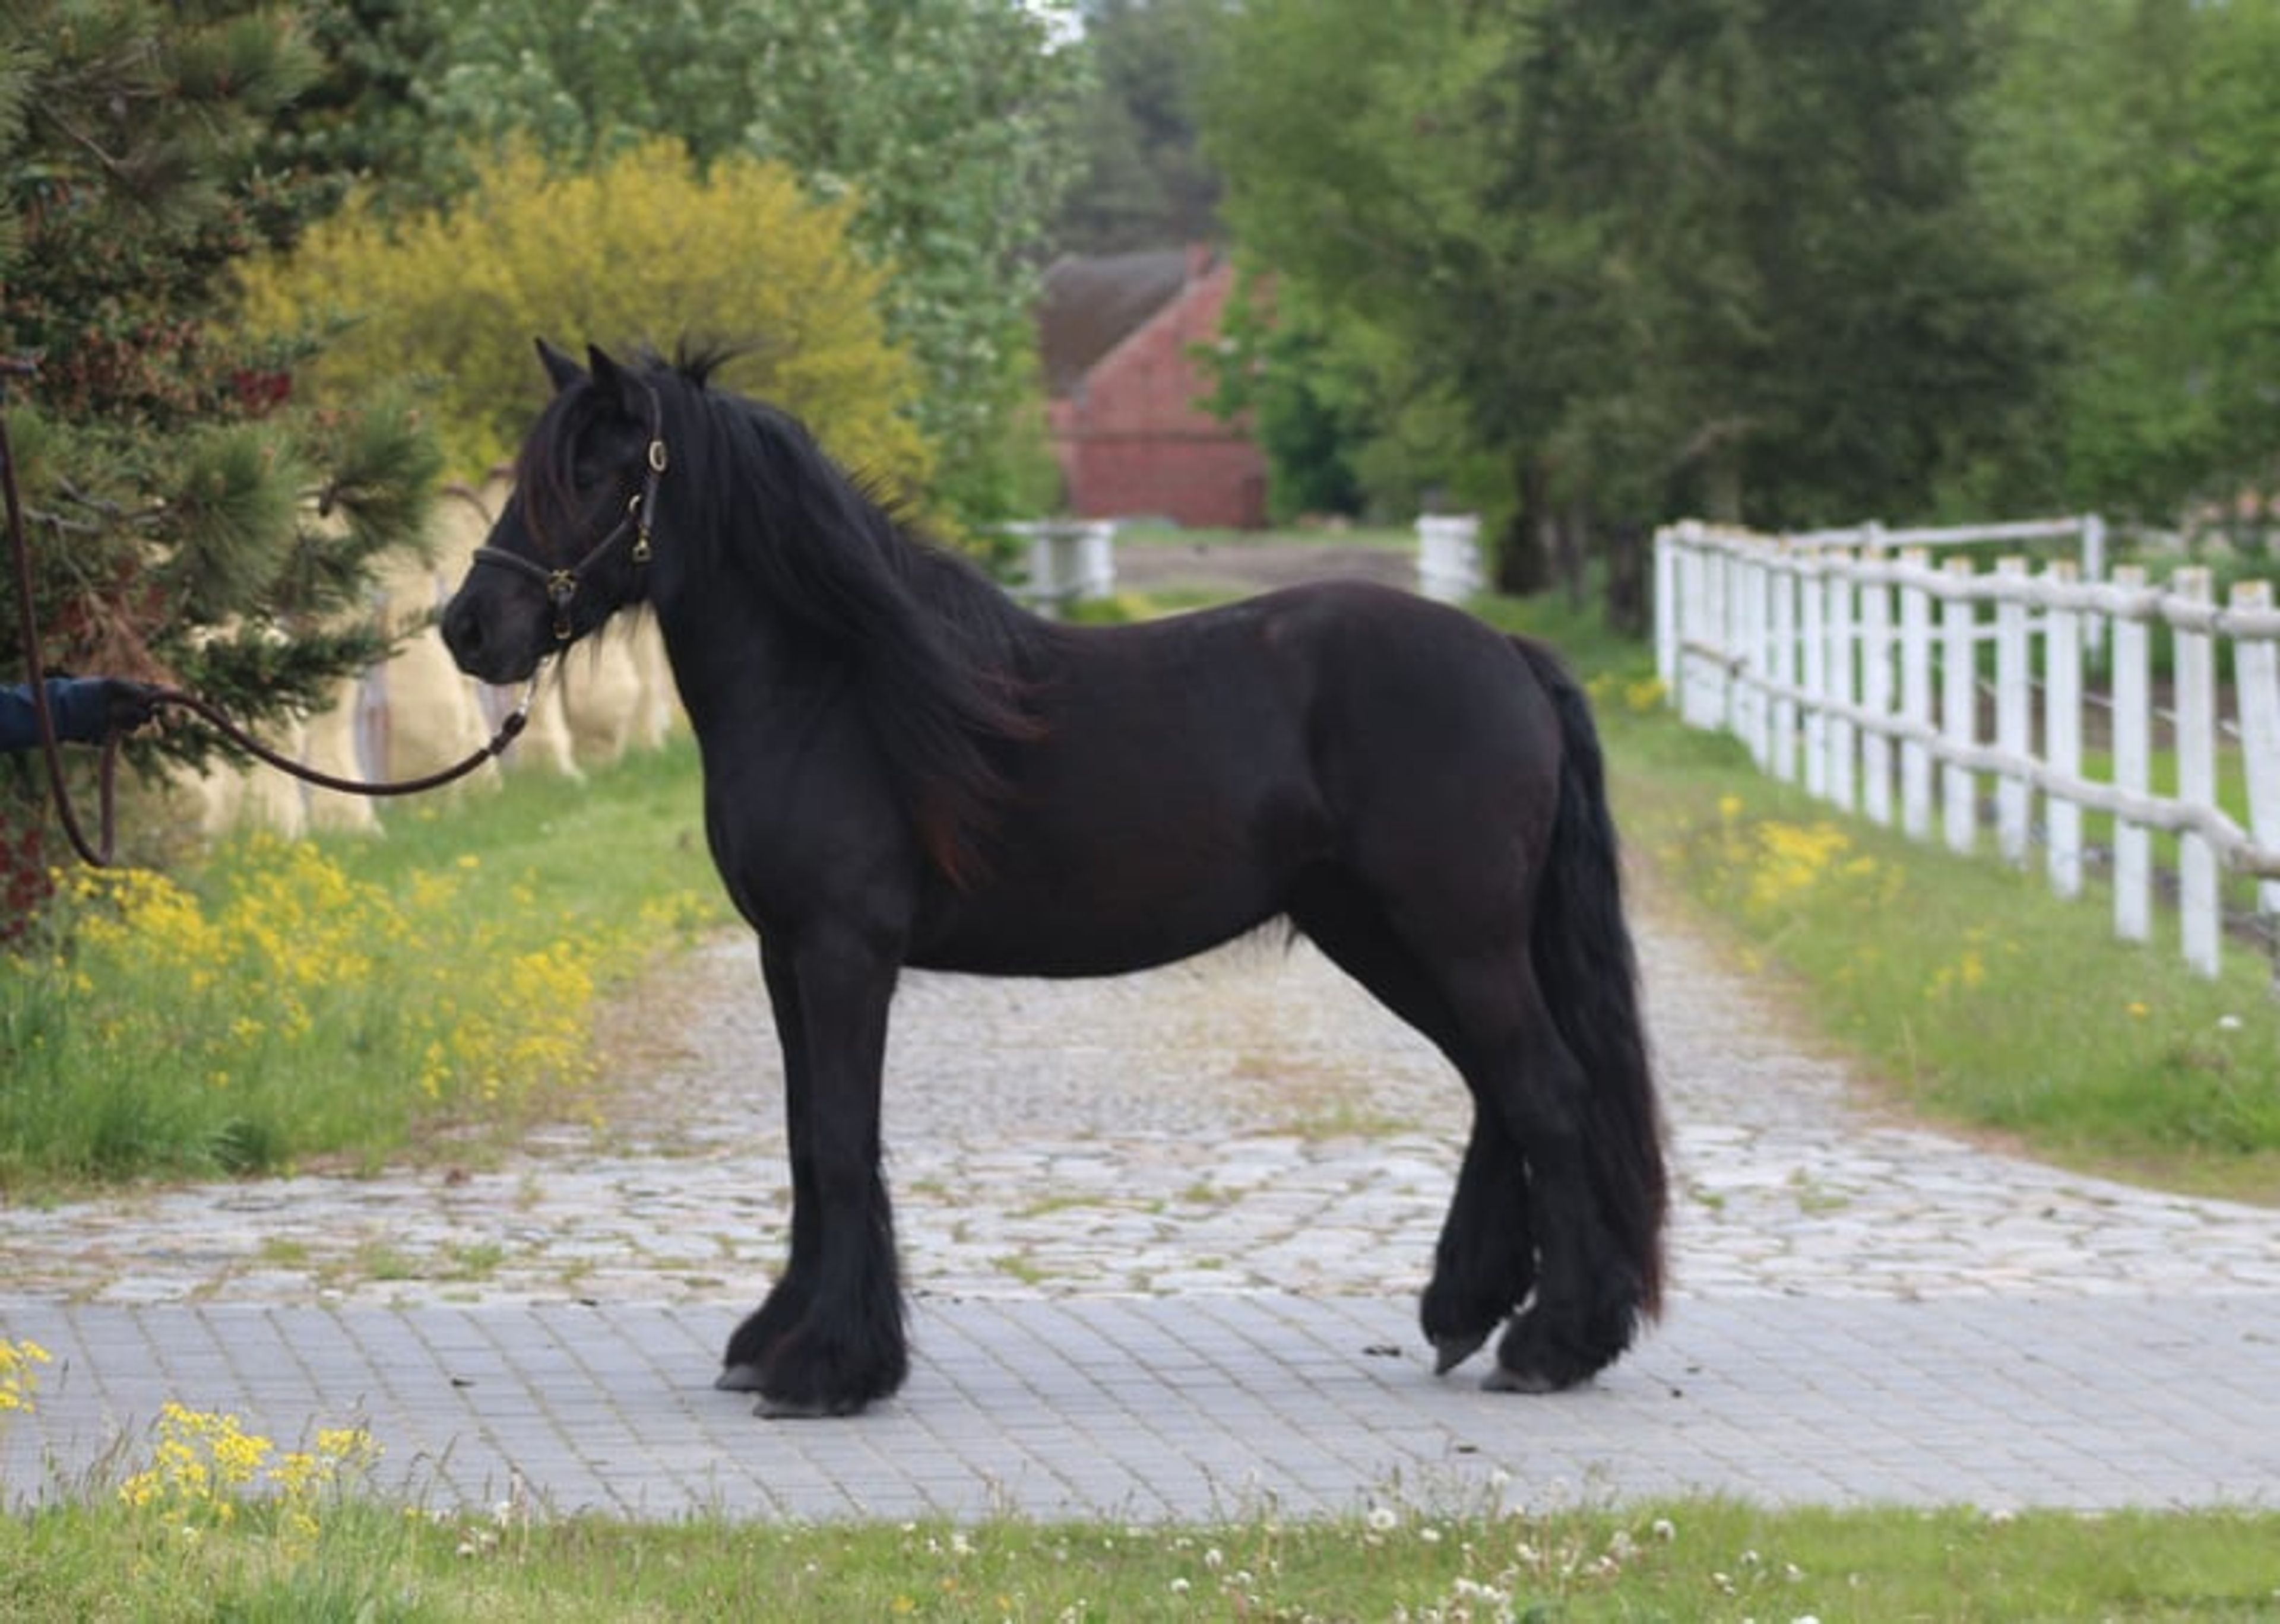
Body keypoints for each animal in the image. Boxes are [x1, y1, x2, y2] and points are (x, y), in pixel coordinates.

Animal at [441, 342, 1667, 1419]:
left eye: (588, 475)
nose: (468, 628)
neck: (836, 689)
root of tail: (1509, 654)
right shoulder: (782, 954)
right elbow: (801, 1139)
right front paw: (775, 1341)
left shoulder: (844, 954)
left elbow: (839, 1141)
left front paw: (829, 1369)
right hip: (1385, 935)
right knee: (1502, 1092)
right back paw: (1469, 1311)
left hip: (1456, 937)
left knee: (1548, 1095)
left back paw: (1552, 1346)